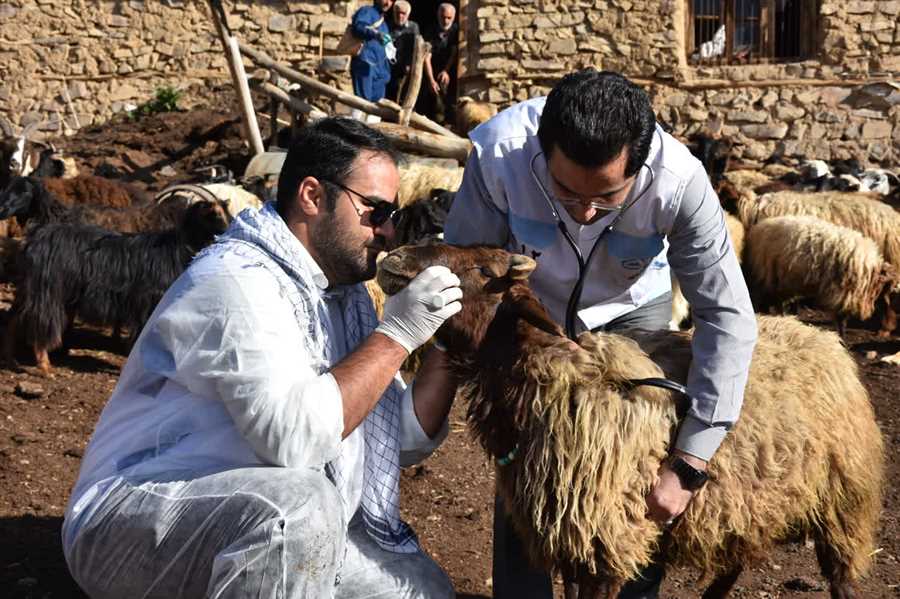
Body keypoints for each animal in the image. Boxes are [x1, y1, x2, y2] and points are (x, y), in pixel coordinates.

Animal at [5, 199, 230, 372]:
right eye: (214, 215)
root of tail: (35, 236)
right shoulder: (148, 305)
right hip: (47, 290)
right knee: (38, 322)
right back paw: (44, 366)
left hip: (30, 288)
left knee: (13, 319)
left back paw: (11, 359)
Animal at [376, 243, 884, 599]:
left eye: (485, 271)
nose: (395, 257)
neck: (555, 380)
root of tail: (818, 337)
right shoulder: (572, 533)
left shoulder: (609, 538)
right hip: (752, 502)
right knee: (735, 560)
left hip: (842, 498)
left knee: (840, 574)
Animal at [740, 216, 896, 338]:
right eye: (888, 293)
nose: (887, 329)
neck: (871, 273)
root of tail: (758, 227)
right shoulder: (842, 294)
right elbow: (841, 319)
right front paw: (842, 338)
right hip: (768, 275)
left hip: (781, 281)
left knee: (775, 301)